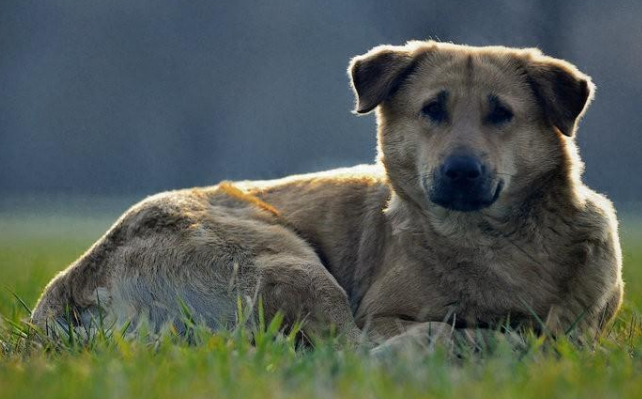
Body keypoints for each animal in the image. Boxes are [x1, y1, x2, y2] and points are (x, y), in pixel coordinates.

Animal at [30, 39, 620, 348]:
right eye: (432, 109)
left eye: (502, 114)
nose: (460, 171)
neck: (493, 244)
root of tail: (67, 291)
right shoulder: (382, 315)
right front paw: (484, 335)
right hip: (288, 261)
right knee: (354, 352)